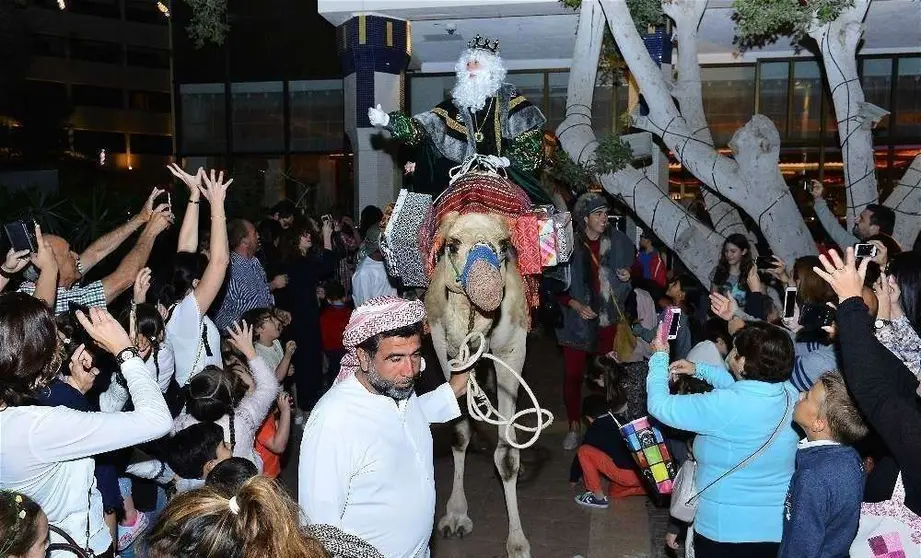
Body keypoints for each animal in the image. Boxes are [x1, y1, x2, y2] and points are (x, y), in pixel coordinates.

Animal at [426, 212, 532, 558]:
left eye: (503, 244)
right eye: (452, 244)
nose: (487, 289)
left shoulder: (512, 349)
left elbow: (508, 454)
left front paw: (517, 543)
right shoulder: (442, 345)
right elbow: (459, 432)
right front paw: (456, 516)